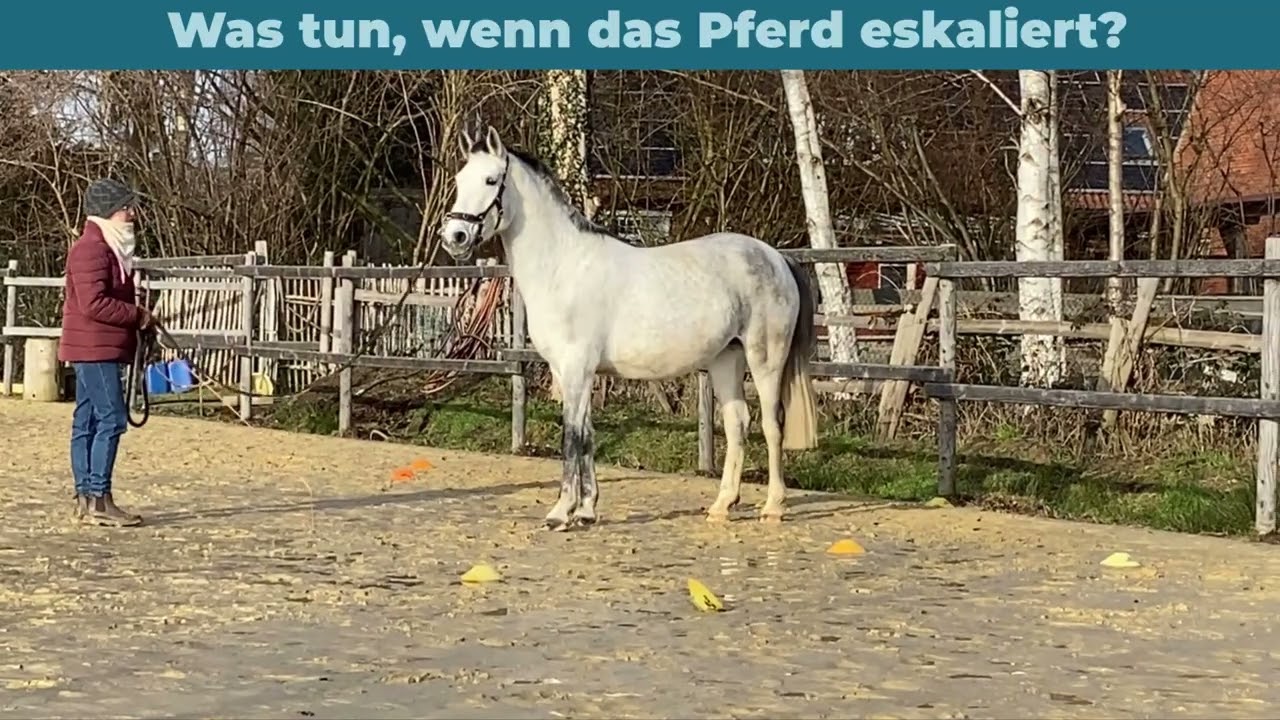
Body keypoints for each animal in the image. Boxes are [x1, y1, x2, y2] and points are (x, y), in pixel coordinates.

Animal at [439, 125, 820, 531]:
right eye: (459, 180)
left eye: (491, 180)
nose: (455, 237)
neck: (563, 266)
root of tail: (776, 257)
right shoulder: (573, 372)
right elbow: (587, 435)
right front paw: (586, 511)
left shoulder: (576, 368)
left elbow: (571, 436)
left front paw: (561, 512)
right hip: (725, 359)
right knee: (737, 424)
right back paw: (721, 506)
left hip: (765, 359)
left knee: (772, 424)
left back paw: (773, 507)